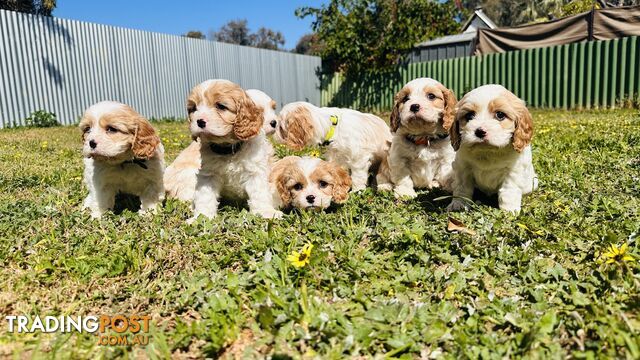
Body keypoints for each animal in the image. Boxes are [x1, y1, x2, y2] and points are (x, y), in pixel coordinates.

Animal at [179, 79, 282, 219]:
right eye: (193, 109)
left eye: (221, 106)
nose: (199, 121)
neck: (227, 149)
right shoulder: (208, 174)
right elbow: (205, 196)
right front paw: (202, 216)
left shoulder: (255, 171)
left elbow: (259, 193)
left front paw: (266, 212)